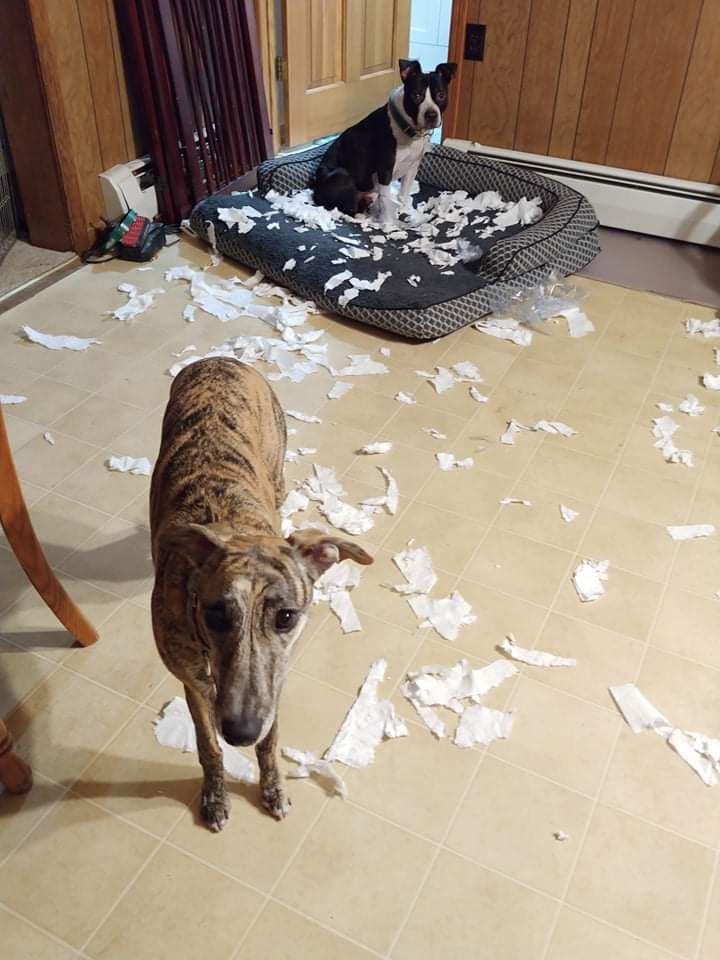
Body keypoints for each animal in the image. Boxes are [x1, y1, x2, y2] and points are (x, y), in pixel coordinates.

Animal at [150, 357, 373, 831]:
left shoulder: (274, 681)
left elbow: (271, 739)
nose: (240, 732)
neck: (233, 525)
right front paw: (215, 796)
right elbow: (206, 744)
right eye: (214, 614)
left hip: (278, 469)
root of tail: (218, 359)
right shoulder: (192, 681)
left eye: (286, 616)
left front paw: (273, 788)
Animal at [313, 59, 457, 220]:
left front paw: (405, 209)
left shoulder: (412, 166)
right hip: (341, 174)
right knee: (350, 207)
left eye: (441, 95)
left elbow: (404, 194)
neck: (408, 130)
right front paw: (387, 220)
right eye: (416, 95)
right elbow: (386, 200)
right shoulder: (385, 170)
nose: (431, 115)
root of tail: (316, 192)